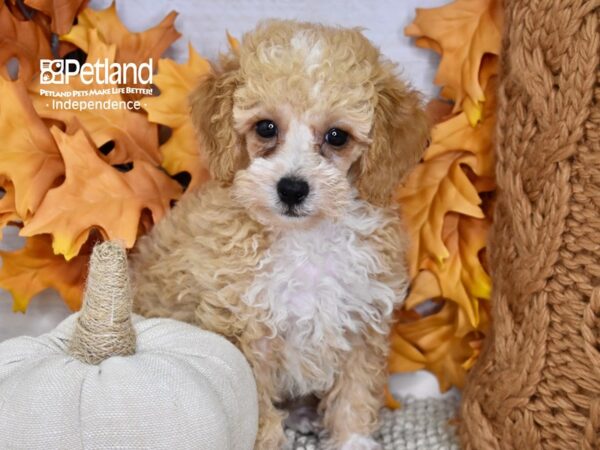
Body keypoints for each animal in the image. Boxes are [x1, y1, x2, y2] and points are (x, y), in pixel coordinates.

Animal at [133, 19, 428, 448]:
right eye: (266, 128)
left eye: (337, 136)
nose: (291, 188)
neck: (305, 239)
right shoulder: (244, 334)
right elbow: (259, 415)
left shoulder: (360, 322)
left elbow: (354, 395)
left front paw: (353, 440)